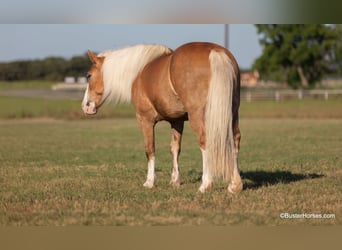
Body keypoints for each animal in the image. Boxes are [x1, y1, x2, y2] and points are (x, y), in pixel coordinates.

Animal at [82, 42, 243, 193]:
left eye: (89, 75)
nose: (86, 106)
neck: (139, 72)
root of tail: (215, 52)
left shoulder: (145, 120)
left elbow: (150, 149)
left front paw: (149, 182)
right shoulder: (177, 121)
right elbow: (174, 149)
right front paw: (175, 181)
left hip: (198, 116)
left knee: (205, 141)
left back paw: (206, 185)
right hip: (232, 113)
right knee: (235, 139)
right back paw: (234, 185)